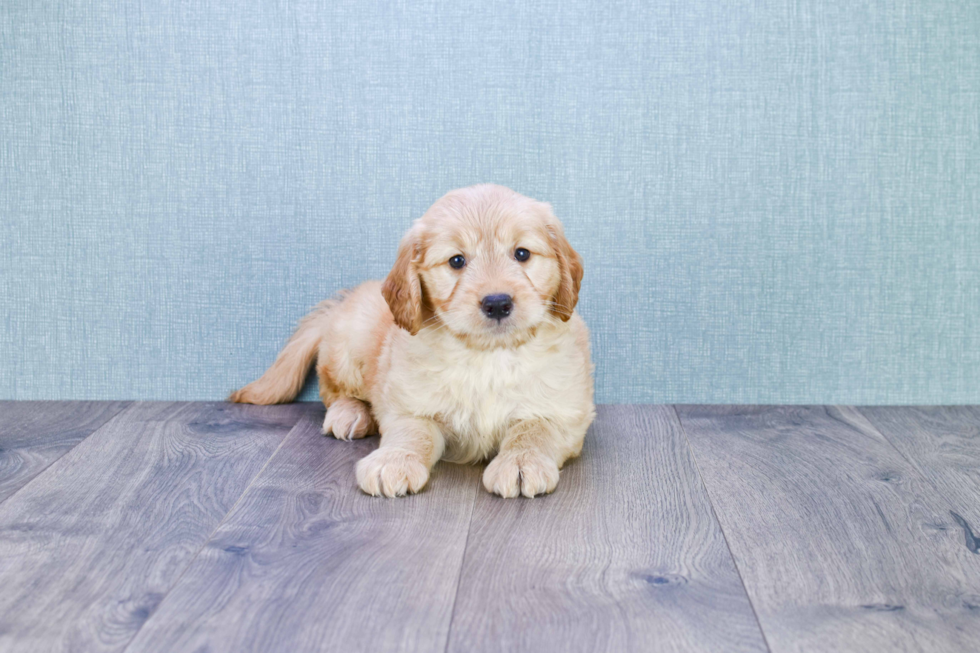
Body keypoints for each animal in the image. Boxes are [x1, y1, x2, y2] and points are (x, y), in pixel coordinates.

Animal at [233, 185, 592, 500]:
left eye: (522, 254)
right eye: (457, 261)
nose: (497, 303)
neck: (486, 355)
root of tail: (342, 303)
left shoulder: (562, 409)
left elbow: (533, 430)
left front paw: (520, 462)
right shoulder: (411, 405)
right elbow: (411, 433)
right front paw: (393, 460)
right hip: (349, 346)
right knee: (333, 391)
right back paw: (349, 414)